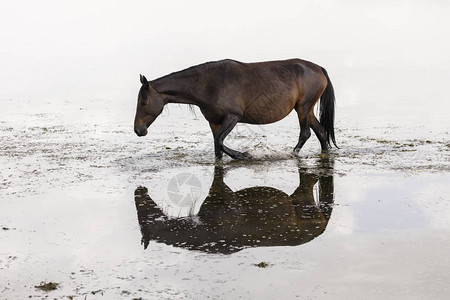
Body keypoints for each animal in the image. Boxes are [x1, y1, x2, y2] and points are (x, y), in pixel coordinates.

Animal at [134, 57, 338, 158]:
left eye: (144, 103)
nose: (138, 130)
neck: (208, 84)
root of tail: (319, 68)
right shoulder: (214, 122)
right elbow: (217, 146)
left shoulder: (232, 117)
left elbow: (219, 142)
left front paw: (244, 155)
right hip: (306, 109)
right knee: (321, 132)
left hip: (303, 108)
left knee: (306, 133)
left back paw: (290, 154)